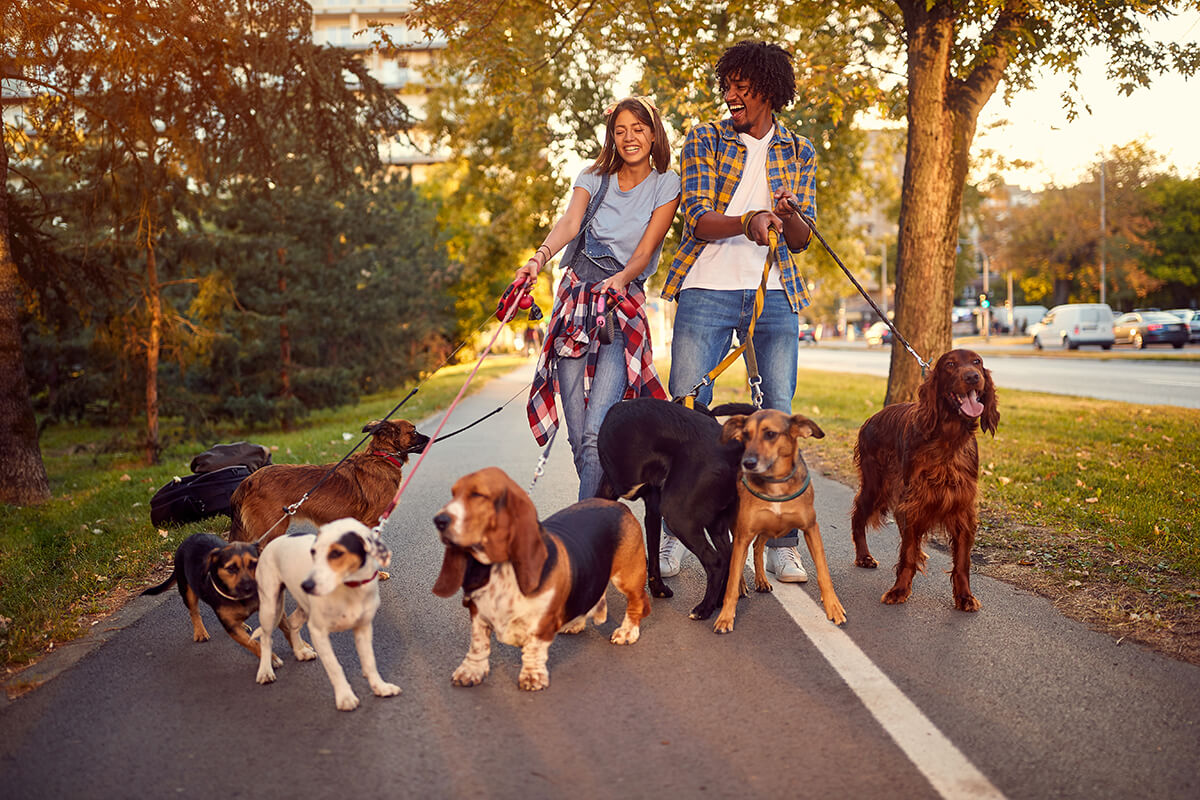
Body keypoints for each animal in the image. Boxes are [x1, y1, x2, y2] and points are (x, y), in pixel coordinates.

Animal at [253, 520, 403, 714]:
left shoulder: (363, 628)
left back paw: (300, 651)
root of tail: (272, 542)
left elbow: (370, 662)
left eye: (337, 553)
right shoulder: (319, 632)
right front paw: (345, 697)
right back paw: (265, 670)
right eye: (313, 552)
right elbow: (334, 667)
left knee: (292, 622)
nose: (306, 585)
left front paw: (380, 687)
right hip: (270, 606)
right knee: (266, 638)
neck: (350, 588)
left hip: (303, 607)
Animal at [434, 465, 652, 690]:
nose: (439, 520)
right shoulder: (478, 615)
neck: (500, 568)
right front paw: (470, 671)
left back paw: (627, 632)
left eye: (478, 495)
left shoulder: (541, 622)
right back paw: (576, 623)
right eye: (453, 494)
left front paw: (532, 676)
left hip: (627, 576)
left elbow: (534, 648)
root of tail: (614, 504)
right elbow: (478, 645)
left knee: (638, 602)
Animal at [595, 398, 753, 618]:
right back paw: (720, 600)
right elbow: (653, 554)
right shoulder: (652, 509)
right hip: (715, 523)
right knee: (729, 554)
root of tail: (732, 450)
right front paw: (658, 589)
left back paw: (704, 609)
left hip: (678, 516)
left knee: (715, 561)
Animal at [710, 410, 844, 633]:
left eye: (770, 434)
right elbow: (731, 581)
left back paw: (762, 580)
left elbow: (824, 573)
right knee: (737, 555)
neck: (776, 484)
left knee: (757, 547)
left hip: (769, 528)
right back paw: (742, 585)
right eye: (745, 435)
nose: (748, 463)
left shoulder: (811, 529)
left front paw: (833, 607)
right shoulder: (744, 533)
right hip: (740, 529)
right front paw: (725, 617)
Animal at [854, 345, 1003, 614]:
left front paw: (964, 596)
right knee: (858, 516)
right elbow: (907, 553)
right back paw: (864, 557)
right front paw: (899, 590)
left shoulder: (962, 506)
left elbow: (962, 562)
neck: (948, 438)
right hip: (875, 485)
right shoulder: (914, 502)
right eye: (950, 365)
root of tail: (872, 417)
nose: (973, 377)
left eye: (977, 361)